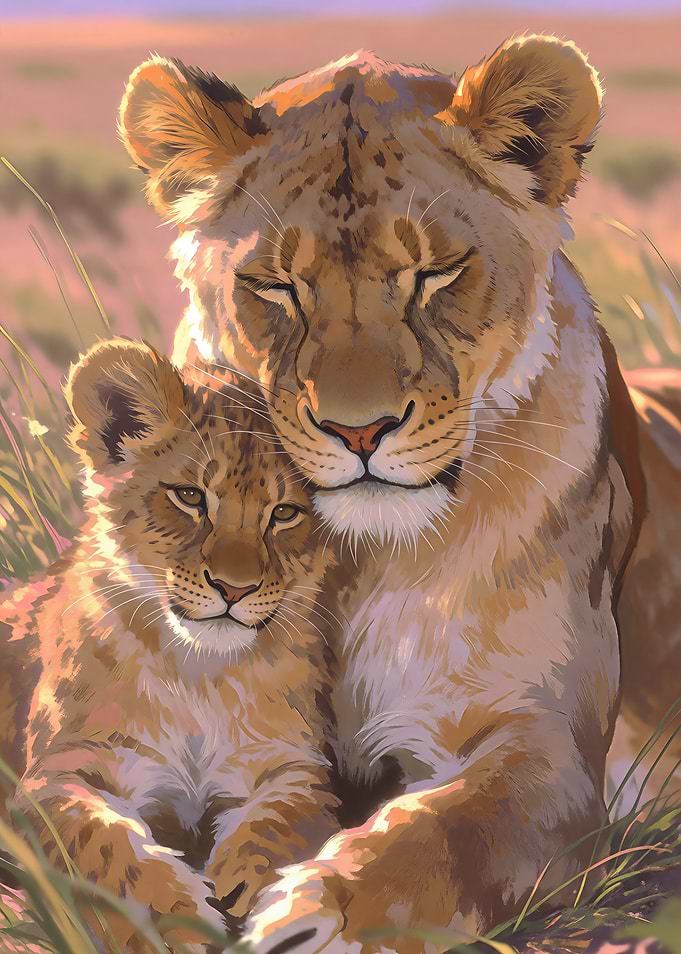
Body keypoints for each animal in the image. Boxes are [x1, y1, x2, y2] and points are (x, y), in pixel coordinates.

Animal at [0, 340, 341, 951]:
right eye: (189, 497)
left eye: (284, 513)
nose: (235, 588)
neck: (197, 674)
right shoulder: (56, 775)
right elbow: (110, 847)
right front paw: (176, 920)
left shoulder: (289, 762)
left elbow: (283, 821)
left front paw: (263, 901)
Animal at [118, 37, 681, 953]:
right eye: (276, 286)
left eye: (435, 274)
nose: (359, 431)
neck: (353, 561)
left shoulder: (549, 748)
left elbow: (447, 832)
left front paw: (319, 915)